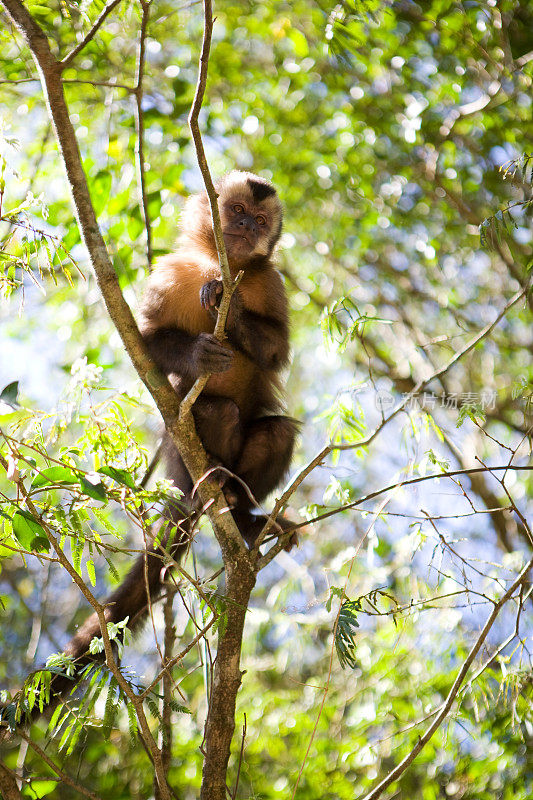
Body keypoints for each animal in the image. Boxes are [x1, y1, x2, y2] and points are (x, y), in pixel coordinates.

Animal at [3, 170, 300, 720]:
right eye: (237, 213)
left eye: (260, 220)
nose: (248, 230)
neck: (218, 262)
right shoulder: (170, 271)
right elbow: (146, 340)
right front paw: (200, 353)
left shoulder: (270, 280)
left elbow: (273, 349)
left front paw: (230, 305)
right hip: (180, 457)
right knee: (213, 412)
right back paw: (214, 482)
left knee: (276, 432)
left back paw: (242, 512)